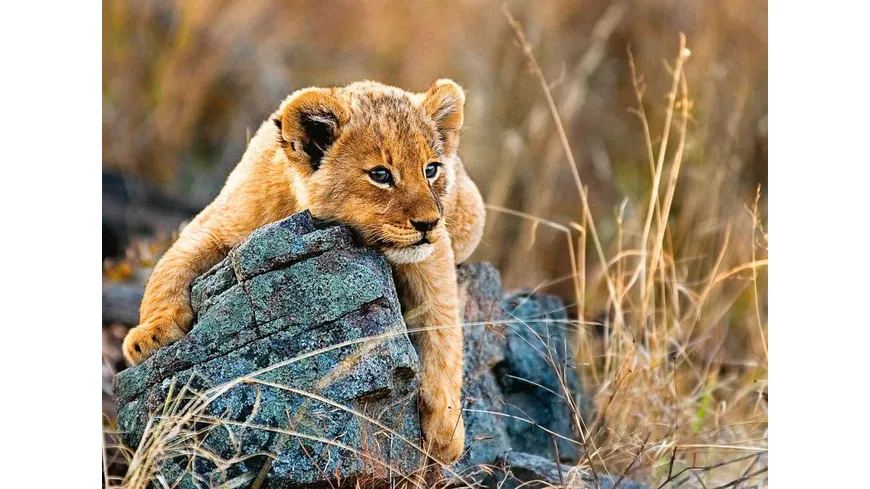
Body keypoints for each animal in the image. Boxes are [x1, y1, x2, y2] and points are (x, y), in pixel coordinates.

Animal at [122, 79, 486, 463]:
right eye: (380, 175)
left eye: (431, 169)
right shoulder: (214, 224)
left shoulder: (433, 255)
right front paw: (149, 336)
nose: (429, 223)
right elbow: (169, 267)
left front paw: (446, 430)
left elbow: (443, 329)